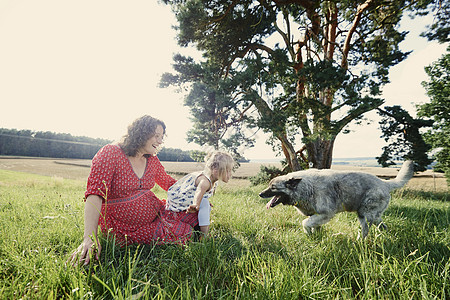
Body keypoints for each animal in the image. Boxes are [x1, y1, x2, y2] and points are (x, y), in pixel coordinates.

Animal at [260, 161, 414, 238]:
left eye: (273, 187)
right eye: (269, 185)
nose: (260, 194)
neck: (304, 187)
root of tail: (385, 183)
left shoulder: (325, 214)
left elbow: (305, 223)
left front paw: (308, 234)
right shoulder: (316, 215)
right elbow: (314, 225)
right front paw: (315, 236)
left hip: (367, 215)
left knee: (369, 228)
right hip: (365, 215)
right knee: (378, 227)